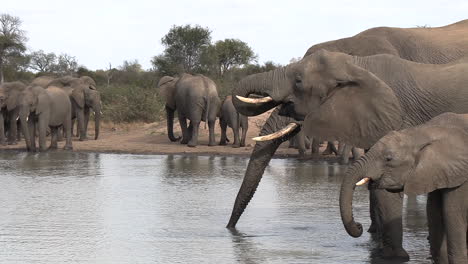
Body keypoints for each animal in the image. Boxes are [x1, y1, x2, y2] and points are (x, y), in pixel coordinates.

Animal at [350, 112, 468, 262]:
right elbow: (435, 215)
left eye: (388, 158)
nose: (359, 226)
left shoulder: (462, 178)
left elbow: (453, 215)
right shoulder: (440, 173)